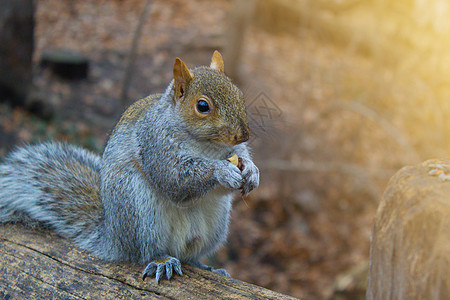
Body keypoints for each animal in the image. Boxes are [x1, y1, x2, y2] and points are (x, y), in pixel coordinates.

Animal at [0, 51, 258, 284]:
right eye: (202, 106)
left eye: (239, 94)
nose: (243, 135)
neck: (207, 146)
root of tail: (113, 237)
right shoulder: (155, 144)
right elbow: (175, 179)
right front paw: (221, 171)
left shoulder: (232, 150)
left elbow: (241, 158)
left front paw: (252, 172)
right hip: (139, 211)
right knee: (144, 251)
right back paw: (162, 261)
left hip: (215, 223)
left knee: (190, 256)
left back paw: (208, 267)